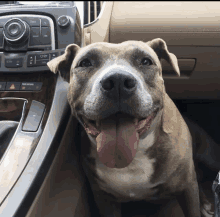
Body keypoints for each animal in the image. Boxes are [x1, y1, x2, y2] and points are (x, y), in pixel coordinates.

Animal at [47, 38, 216, 217]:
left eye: (146, 61)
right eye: (85, 63)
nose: (117, 81)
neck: (135, 156)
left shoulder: (186, 188)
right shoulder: (104, 199)